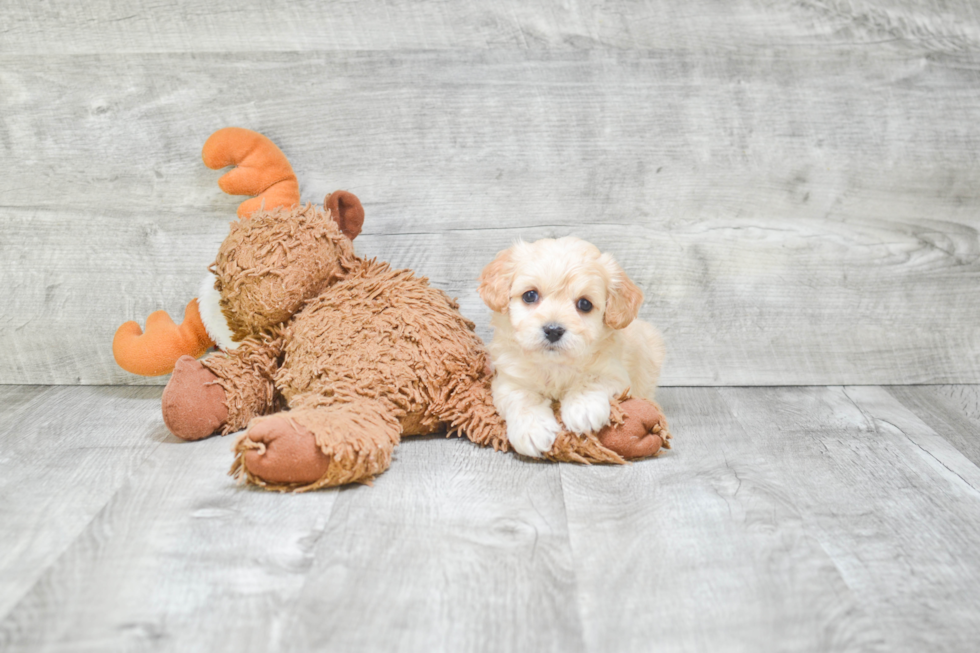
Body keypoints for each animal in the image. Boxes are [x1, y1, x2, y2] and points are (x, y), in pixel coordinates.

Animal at [476, 237, 668, 456]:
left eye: (585, 304)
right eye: (530, 295)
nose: (553, 330)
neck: (554, 364)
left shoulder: (616, 373)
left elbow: (592, 380)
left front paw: (583, 409)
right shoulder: (508, 378)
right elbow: (522, 396)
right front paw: (533, 429)